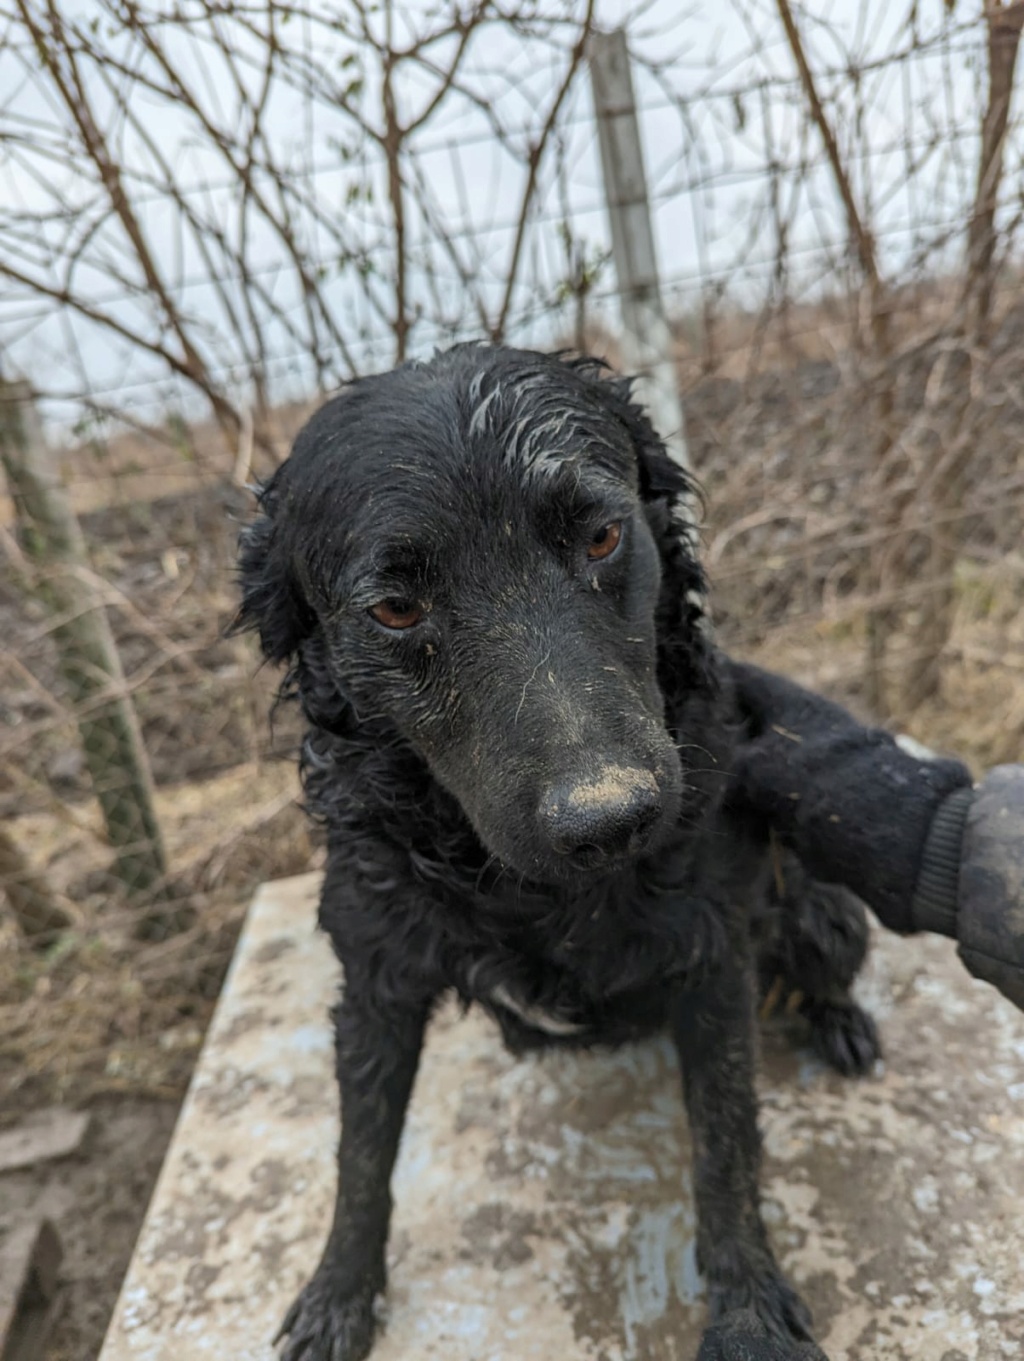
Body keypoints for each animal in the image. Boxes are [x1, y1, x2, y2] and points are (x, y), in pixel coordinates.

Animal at [234, 342, 882, 1361]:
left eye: (604, 537)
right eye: (394, 607)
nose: (613, 819)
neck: (530, 893)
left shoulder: (713, 956)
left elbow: (727, 1149)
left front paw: (748, 1315)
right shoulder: (374, 977)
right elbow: (360, 1155)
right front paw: (338, 1294)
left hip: (821, 911)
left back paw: (839, 1020)